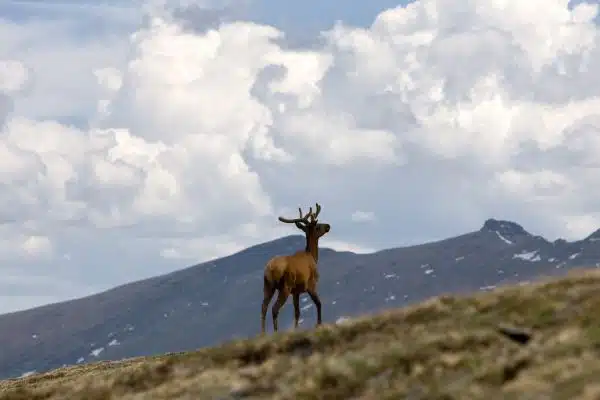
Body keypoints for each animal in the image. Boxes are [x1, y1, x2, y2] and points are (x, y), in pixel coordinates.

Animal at [260, 203, 330, 334]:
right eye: (318, 226)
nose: (328, 226)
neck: (313, 256)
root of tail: (270, 269)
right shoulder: (311, 285)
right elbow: (319, 303)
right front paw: (319, 324)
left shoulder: (296, 292)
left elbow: (297, 312)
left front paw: (296, 329)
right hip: (285, 286)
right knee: (274, 308)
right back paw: (276, 332)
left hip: (268, 285)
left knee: (263, 307)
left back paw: (262, 333)